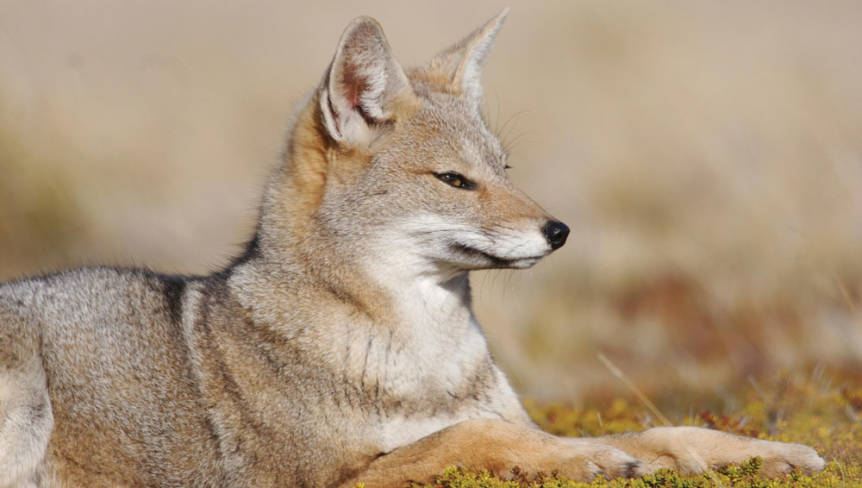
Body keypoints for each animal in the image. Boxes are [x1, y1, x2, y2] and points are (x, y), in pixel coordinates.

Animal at [0, 8, 828, 488]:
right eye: (455, 180)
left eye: (505, 170)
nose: (559, 231)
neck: (424, 361)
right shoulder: (325, 482)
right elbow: (478, 432)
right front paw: (582, 457)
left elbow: (661, 429)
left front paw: (764, 452)